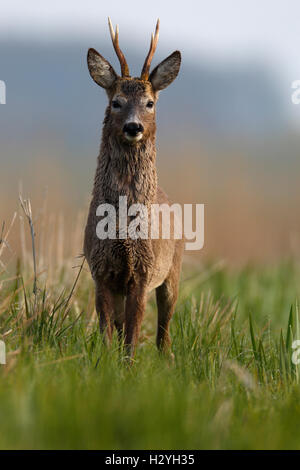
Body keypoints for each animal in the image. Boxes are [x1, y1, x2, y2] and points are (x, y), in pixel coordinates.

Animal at [83, 17, 184, 356]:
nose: (133, 126)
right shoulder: (100, 269)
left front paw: (128, 364)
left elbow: (133, 331)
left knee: (164, 329)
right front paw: (104, 361)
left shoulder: (144, 271)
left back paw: (166, 358)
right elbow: (108, 328)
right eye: (116, 102)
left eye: (149, 103)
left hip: (173, 269)